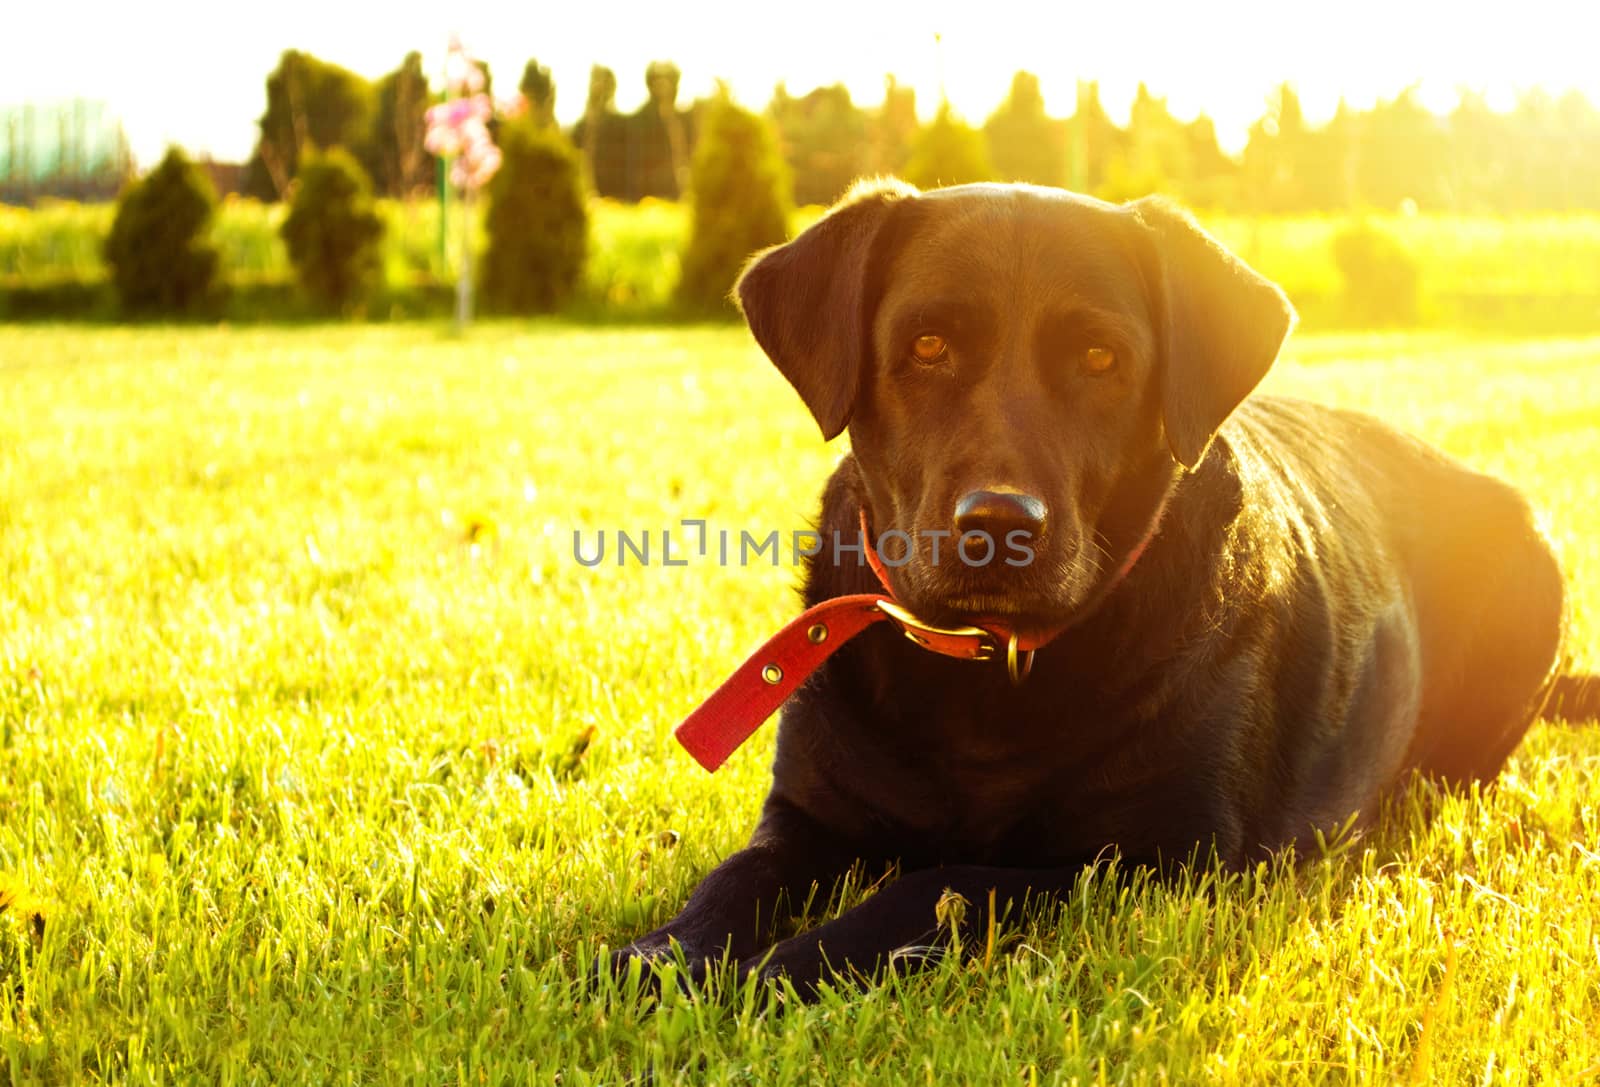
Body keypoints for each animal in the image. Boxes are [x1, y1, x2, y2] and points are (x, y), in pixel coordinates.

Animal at [614, 178, 1574, 992]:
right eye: (927, 344)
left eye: (1101, 357)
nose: (998, 525)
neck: (983, 681)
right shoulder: (808, 816)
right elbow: (733, 879)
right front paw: (660, 956)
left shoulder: (1149, 858)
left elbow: (942, 882)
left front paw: (784, 966)